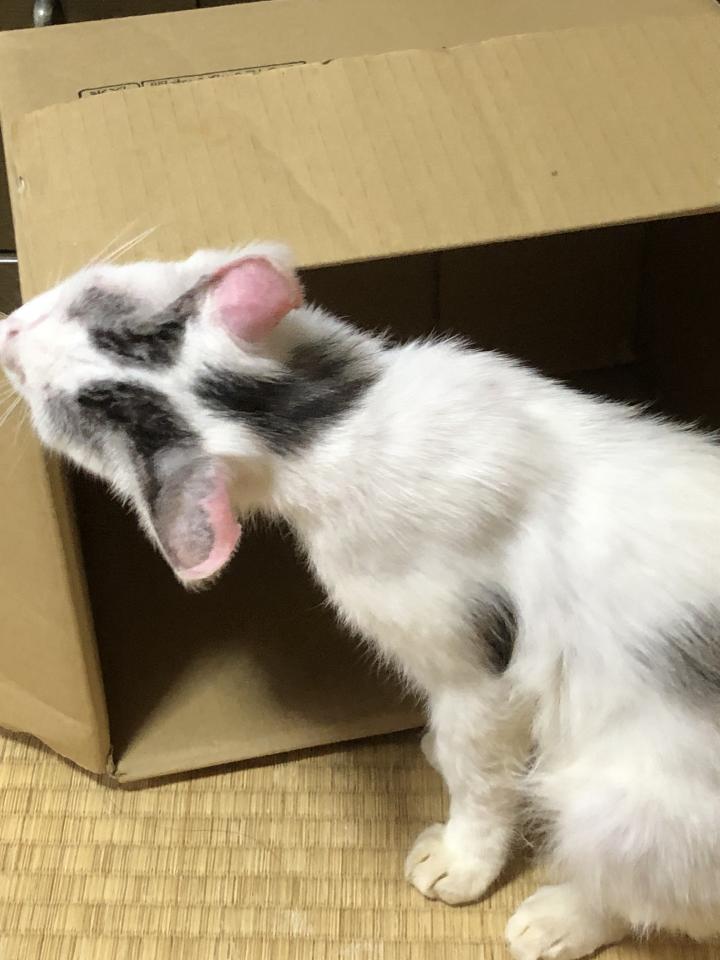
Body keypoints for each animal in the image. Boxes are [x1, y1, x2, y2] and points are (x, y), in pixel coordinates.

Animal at [2, 241, 720, 959]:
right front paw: (440, 756)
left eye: (57, 411)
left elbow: (480, 773)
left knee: (658, 898)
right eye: (86, 305)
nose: (9, 335)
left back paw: (559, 919)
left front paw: (462, 857)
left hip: (627, 808)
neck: (322, 428)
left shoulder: (476, 674)